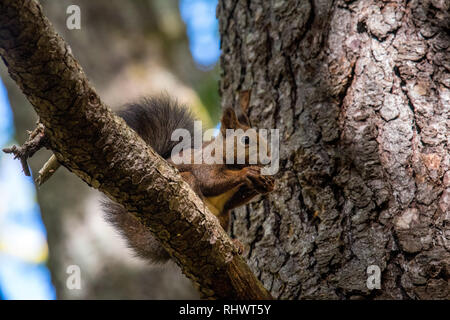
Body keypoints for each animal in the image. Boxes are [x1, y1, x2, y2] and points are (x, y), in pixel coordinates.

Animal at [103, 96, 274, 264]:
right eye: (246, 140)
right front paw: (247, 173)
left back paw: (235, 243)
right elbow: (209, 182)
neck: (234, 164)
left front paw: (266, 184)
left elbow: (234, 201)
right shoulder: (205, 163)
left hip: (225, 215)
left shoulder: (231, 199)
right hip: (186, 181)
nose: (269, 157)